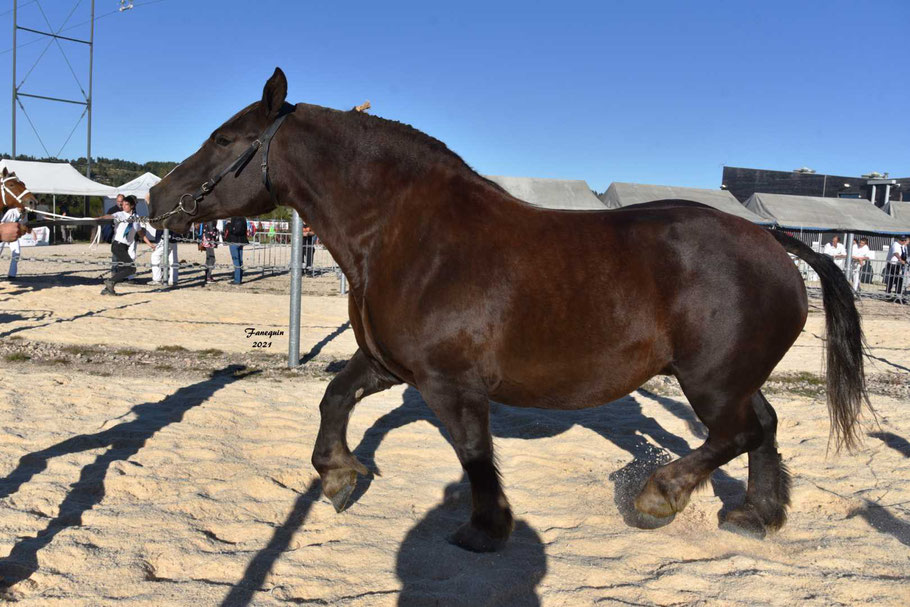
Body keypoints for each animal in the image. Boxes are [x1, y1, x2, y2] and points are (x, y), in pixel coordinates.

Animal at [150, 69, 868, 552]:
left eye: (226, 139)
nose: (158, 199)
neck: (403, 234)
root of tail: (773, 241)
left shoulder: (449, 381)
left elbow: (473, 451)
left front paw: (485, 526)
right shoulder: (390, 363)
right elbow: (335, 397)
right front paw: (339, 476)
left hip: (711, 380)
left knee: (737, 434)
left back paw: (659, 495)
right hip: (731, 377)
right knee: (763, 426)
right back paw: (755, 515)